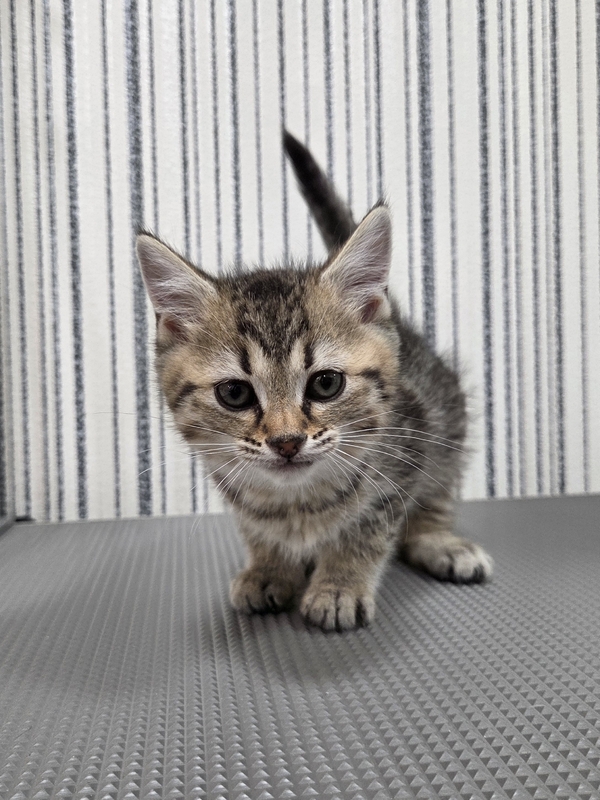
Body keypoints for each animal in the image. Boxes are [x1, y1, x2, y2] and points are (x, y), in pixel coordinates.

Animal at [136, 131, 493, 632]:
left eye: (326, 384)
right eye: (234, 393)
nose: (286, 441)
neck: (296, 500)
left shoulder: (408, 449)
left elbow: (365, 527)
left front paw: (339, 586)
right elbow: (256, 526)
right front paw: (270, 567)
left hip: (446, 418)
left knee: (435, 495)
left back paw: (440, 542)